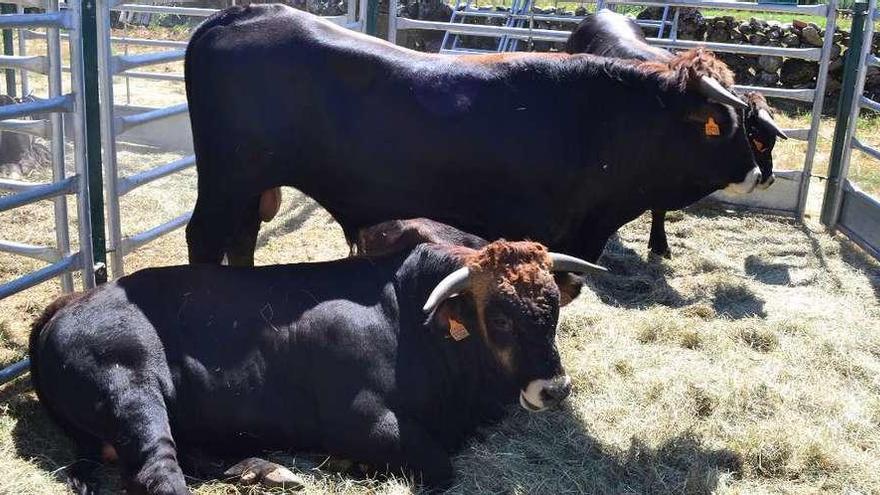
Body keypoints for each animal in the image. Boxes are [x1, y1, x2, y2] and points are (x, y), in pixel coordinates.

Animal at [29, 238, 604, 494]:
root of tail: (67, 303)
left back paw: (260, 467)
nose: (555, 388)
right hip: (133, 391)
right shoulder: (362, 419)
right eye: (501, 318)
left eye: (553, 305)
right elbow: (440, 466)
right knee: (157, 471)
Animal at [184, 4, 764, 268]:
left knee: (241, 239)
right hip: (225, 180)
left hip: (249, 185)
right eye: (726, 127)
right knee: (205, 239)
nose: (758, 172)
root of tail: (245, 12)